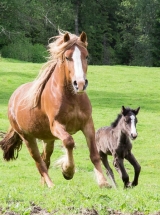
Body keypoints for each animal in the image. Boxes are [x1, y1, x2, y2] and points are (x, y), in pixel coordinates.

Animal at [0, 31, 109, 187]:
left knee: (45, 159)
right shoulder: (57, 126)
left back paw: (43, 185)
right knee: (39, 162)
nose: (80, 84)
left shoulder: (88, 124)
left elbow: (94, 154)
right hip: (28, 138)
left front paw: (103, 182)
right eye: (67, 57)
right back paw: (51, 185)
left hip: (48, 139)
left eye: (86, 56)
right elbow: (69, 142)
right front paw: (67, 170)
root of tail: (13, 98)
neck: (72, 97)